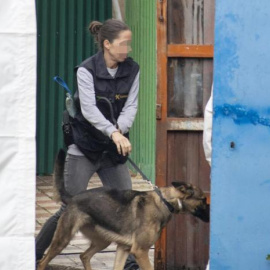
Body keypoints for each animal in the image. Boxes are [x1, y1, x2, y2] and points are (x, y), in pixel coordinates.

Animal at [37, 150, 209, 270]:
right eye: (203, 200)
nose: (211, 217)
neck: (165, 201)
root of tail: (72, 197)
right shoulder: (140, 251)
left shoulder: (123, 249)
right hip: (63, 240)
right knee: (42, 262)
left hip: (103, 241)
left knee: (84, 255)